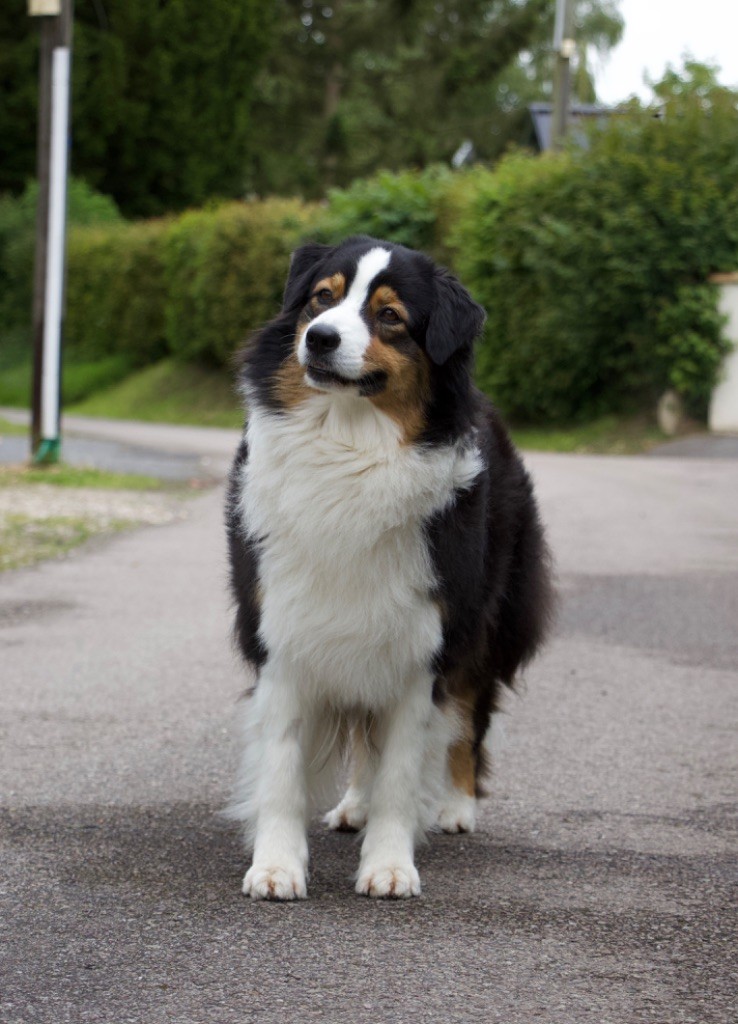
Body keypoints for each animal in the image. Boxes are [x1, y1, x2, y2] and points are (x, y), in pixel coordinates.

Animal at [227, 235, 548, 901]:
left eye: (390, 316)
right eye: (321, 298)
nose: (320, 338)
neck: (349, 448)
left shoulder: (425, 645)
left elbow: (402, 769)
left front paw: (390, 865)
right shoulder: (284, 632)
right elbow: (282, 765)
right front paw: (275, 866)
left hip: (485, 626)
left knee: (469, 717)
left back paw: (455, 805)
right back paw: (354, 804)